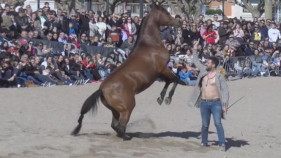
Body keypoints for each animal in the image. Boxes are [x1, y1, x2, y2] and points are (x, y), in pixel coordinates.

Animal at [70, 0, 184, 139]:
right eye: (166, 13)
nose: (178, 22)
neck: (151, 44)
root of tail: (101, 90)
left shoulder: (159, 73)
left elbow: (169, 81)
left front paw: (161, 98)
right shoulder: (163, 69)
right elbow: (176, 79)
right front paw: (167, 99)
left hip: (115, 110)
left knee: (115, 125)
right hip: (127, 108)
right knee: (120, 126)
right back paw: (127, 137)